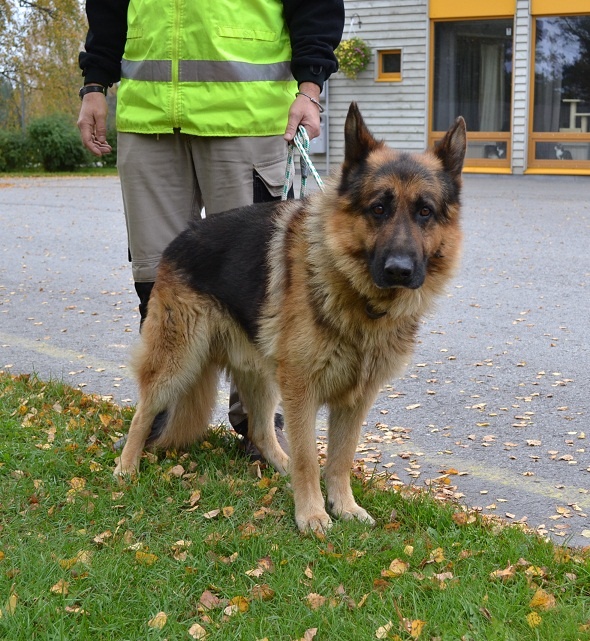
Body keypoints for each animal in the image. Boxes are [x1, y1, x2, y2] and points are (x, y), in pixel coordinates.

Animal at [114, 103, 466, 533]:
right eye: (378, 208)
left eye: (425, 212)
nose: (399, 270)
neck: (358, 298)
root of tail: (180, 238)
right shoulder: (302, 390)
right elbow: (309, 458)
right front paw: (312, 514)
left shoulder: (356, 399)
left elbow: (340, 458)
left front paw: (343, 506)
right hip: (177, 360)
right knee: (144, 412)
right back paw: (126, 467)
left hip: (260, 372)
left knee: (261, 429)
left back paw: (278, 466)